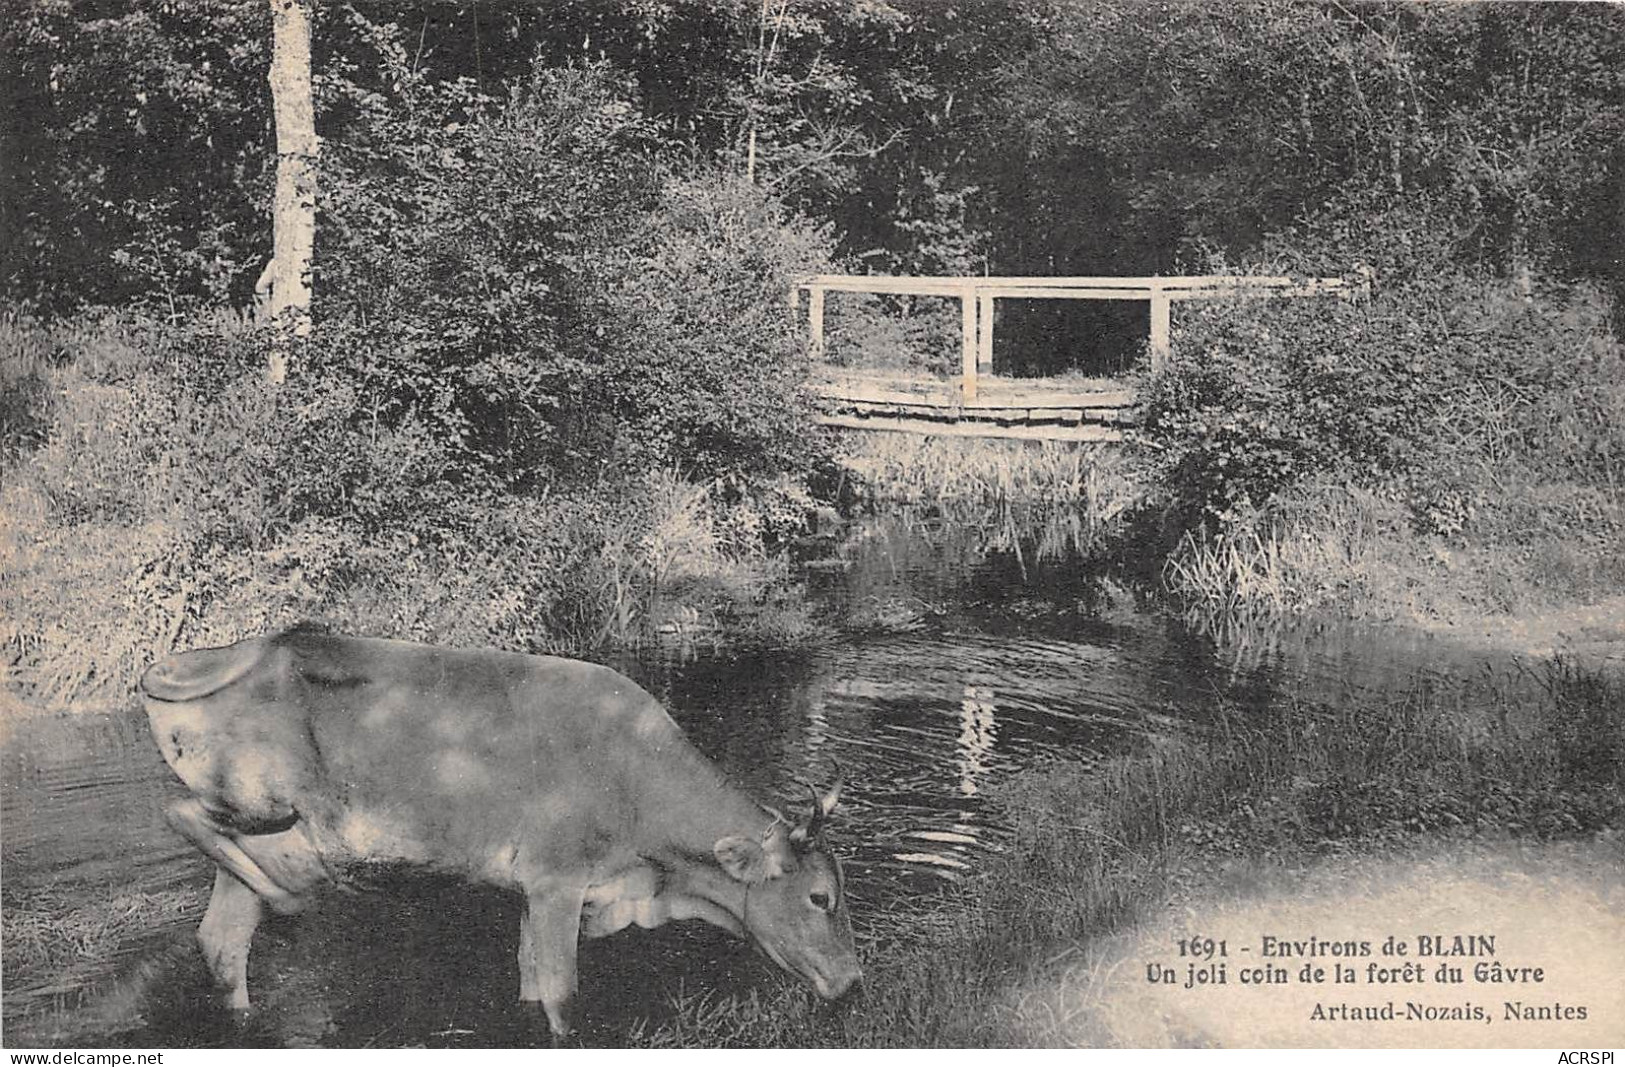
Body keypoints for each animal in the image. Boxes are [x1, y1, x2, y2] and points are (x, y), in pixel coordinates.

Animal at [139, 623, 864, 1039]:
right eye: (819, 897)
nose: (853, 983)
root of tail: (252, 647)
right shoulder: (557, 881)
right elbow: (565, 999)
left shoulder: (532, 892)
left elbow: (529, 983)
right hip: (262, 802)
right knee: (183, 815)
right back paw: (293, 894)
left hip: (265, 837)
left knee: (223, 940)